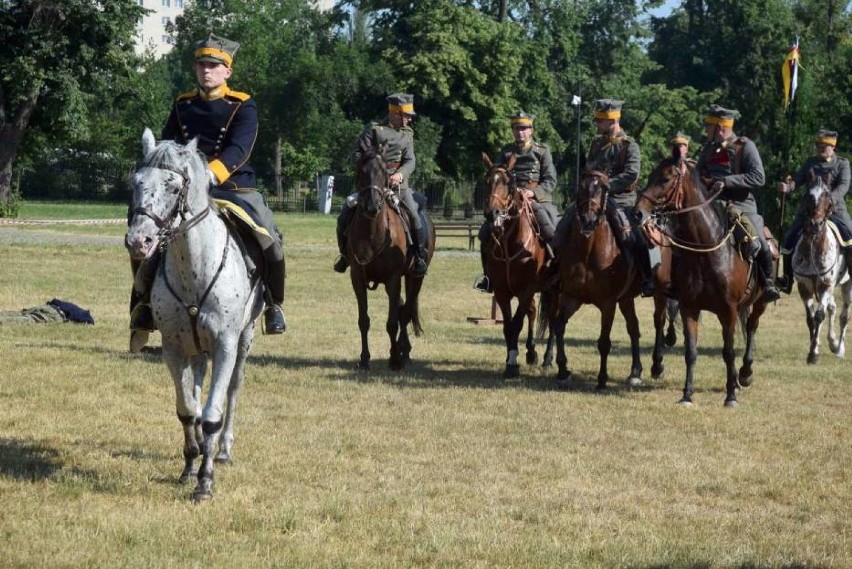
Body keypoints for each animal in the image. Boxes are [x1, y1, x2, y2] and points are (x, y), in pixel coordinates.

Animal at [346, 136, 436, 370]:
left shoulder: (394, 279)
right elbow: (364, 320)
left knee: (406, 311)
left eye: (385, 172)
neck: (372, 233)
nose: (372, 206)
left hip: (415, 277)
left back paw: (403, 352)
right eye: (361, 171)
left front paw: (395, 359)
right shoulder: (357, 278)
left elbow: (393, 322)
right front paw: (364, 358)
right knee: (403, 306)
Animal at [482, 153, 556, 380]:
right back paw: (531, 352)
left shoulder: (527, 289)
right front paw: (511, 358)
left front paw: (513, 364)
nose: (493, 214)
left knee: (554, 320)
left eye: (509, 183)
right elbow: (508, 326)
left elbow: (516, 323)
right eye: (487, 182)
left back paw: (548, 359)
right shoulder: (501, 291)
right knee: (533, 312)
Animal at [552, 169, 672, 390]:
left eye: (604, 189)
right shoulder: (572, 297)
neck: (588, 251)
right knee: (634, 328)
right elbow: (559, 326)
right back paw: (635, 371)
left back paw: (657, 365)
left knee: (658, 322)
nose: (588, 220)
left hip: (660, 292)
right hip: (626, 299)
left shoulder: (608, 304)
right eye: (581, 187)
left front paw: (602, 378)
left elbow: (604, 341)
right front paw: (563, 369)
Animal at [636, 153, 768, 406]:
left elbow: (728, 352)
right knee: (660, 319)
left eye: (666, 178)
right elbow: (691, 352)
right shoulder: (690, 308)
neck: (707, 251)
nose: (638, 212)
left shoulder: (728, 311)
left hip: (761, 302)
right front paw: (687, 394)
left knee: (752, 327)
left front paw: (730, 396)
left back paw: (745, 373)